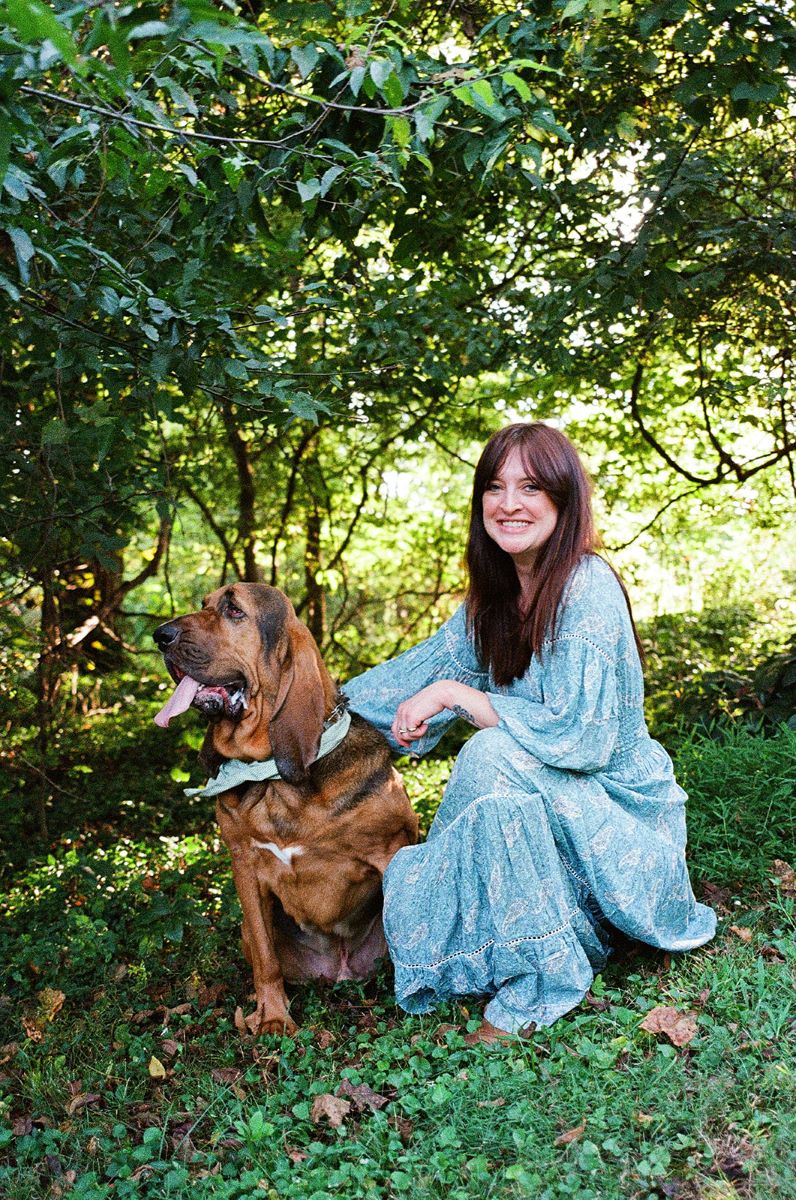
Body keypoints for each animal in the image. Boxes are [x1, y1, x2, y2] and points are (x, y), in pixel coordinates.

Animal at [152, 580, 420, 1032]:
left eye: (234, 610)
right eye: (204, 604)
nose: (160, 636)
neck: (273, 781)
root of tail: (339, 970)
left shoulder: (391, 852)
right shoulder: (245, 867)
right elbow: (266, 960)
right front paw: (274, 1019)